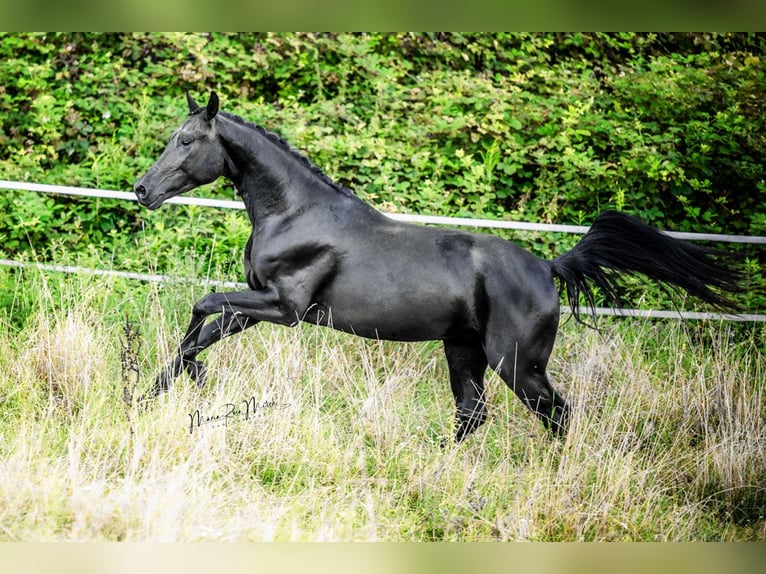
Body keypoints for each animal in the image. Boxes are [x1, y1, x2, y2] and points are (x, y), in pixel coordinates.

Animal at [134, 92, 744, 444]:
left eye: (185, 141)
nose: (142, 191)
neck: (297, 213)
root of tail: (548, 267)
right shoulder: (260, 306)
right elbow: (203, 331)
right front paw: (149, 394)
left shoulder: (285, 308)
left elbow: (202, 305)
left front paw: (185, 381)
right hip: (464, 350)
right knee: (473, 415)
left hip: (517, 363)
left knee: (556, 416)